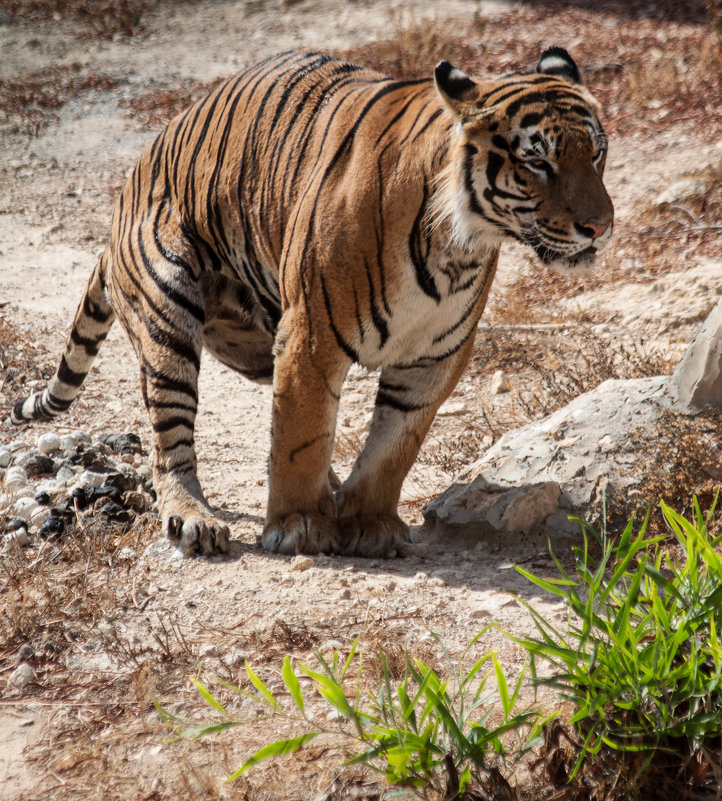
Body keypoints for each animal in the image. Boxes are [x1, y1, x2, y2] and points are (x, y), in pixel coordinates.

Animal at [9, 43, 612, 556]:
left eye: (598, 155)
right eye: (538, 163)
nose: (600, 227)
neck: (457, 244)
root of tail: (129, 185)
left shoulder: (435, 355)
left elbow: (394, 446)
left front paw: (368, 523)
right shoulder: (313, 338)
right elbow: (301, 436)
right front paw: (299, 525)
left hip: (255, 339)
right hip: (168, 317)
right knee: (170, 440)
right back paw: (195, 519)